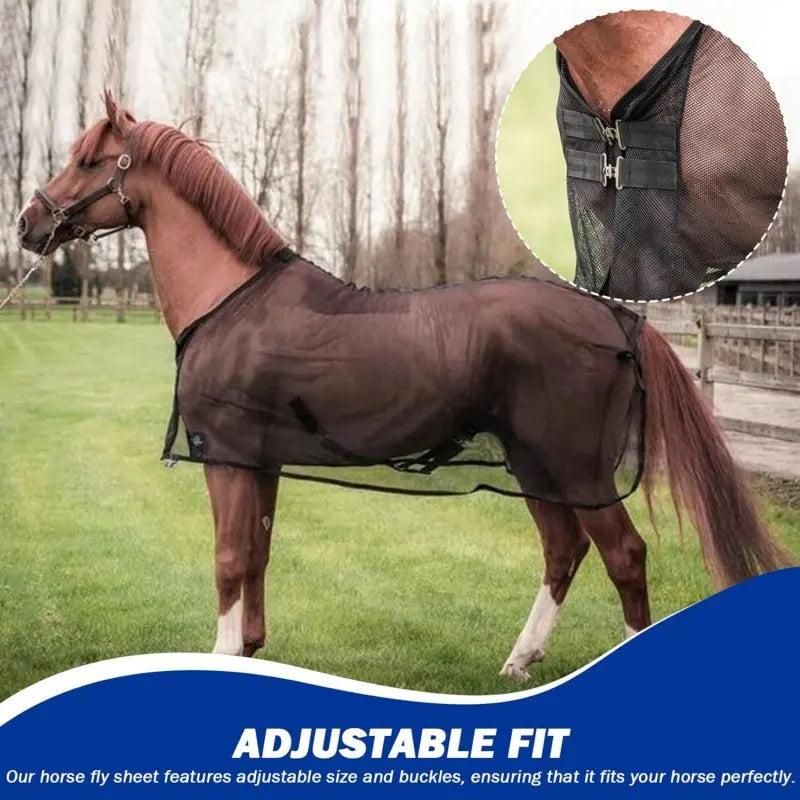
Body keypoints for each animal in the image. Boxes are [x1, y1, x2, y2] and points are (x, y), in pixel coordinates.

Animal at [17, 92, 790, 682]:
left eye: (90, 159)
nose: (28, 223)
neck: (232, 299)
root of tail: (615, 316)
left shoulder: (228, 459)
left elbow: (229, 559)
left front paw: (224, 654)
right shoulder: (259, 462)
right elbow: (258, 553)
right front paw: (253, 650)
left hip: (574, 467)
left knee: (623, 556)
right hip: (534, 464)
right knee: (563, 550)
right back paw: (519, 659)